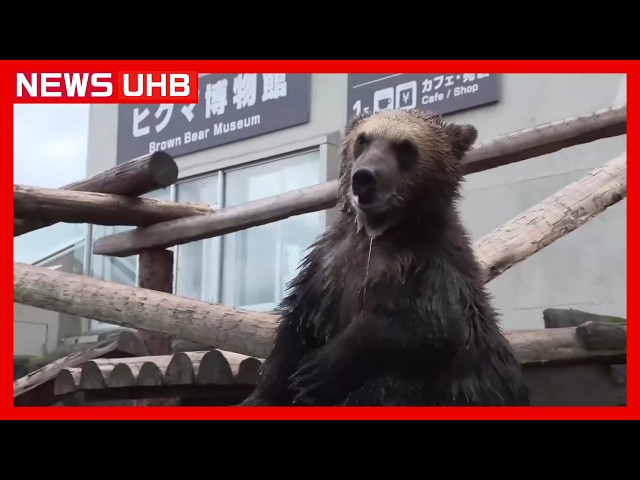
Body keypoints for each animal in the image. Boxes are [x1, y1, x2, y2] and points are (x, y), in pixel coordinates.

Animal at [240, 108, 530, 407]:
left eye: (405, 147)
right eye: (363, 140)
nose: (364, 177)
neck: (378, 234)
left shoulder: (431, 271)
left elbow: (431, 327)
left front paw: (318, 371)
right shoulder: (327, 268)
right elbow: (293, 333)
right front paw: (270, 391)